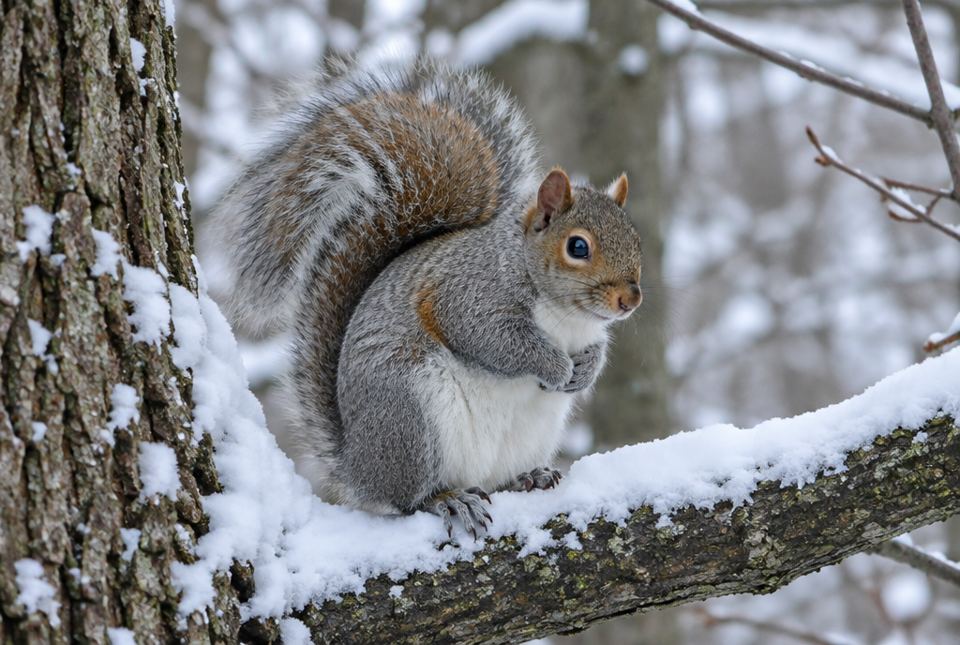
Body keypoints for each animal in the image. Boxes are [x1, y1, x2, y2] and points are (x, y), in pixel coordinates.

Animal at [214, 59, 644, 536]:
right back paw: (447, 499)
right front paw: (555, 365)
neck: (567, 317)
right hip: (410, 416)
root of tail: (357, 468)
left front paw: (585, 369)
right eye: (578, 247)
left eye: (636, 239)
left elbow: (596, 350)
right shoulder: (467, 295)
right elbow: (498, 341)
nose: (630, 300)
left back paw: (529, 476)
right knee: (408, 500)